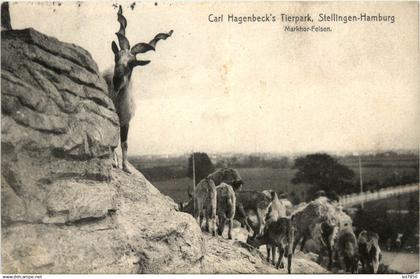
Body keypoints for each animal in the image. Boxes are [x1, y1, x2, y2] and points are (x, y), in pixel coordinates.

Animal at [103, 5, 172, 173]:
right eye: (116, 57)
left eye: (133, 63)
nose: (116, 80)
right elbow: (112, 143)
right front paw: (114, 162)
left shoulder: (125, 122)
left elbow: (124, 143)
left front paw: (126, 167)